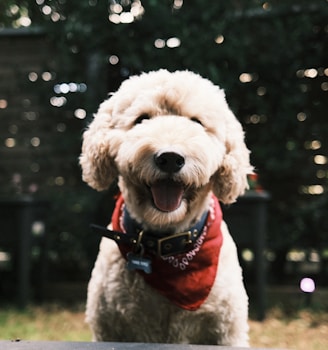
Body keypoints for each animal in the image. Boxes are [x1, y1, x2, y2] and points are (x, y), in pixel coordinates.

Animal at [80, 69, 254, 346]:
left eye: (197, 122)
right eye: (141, 119)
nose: (170, 158)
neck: (167, 246)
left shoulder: (228, 331)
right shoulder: (108, 328)